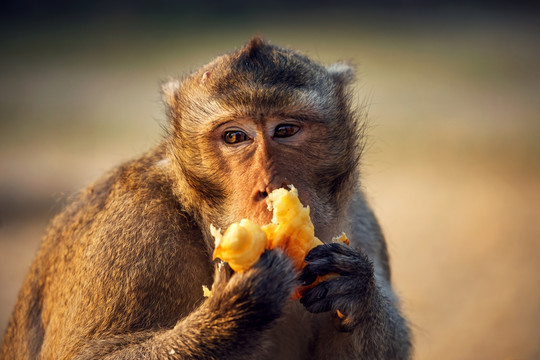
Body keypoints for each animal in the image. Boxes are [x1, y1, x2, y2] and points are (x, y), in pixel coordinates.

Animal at [0, 35, 410, 358]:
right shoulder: (132, 230)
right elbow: (89, 354)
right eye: (235, 137)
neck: (199, 213)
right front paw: (237, 306)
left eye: (285, 130)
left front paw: (357, 287)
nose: (267, 187)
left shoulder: (359, 218)